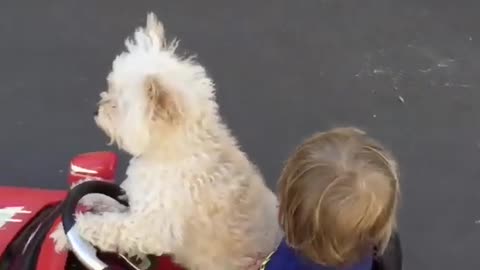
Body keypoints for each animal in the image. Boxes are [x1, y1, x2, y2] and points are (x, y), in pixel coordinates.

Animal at [49, 12, 282, 270]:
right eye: (110, 88)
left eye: (117, 105)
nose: (95, 110)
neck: (171, 151)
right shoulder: (140, 203)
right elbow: (115, 204)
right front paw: (89, 195)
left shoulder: (151, 227)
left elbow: (109, 226)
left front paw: (70, 231)